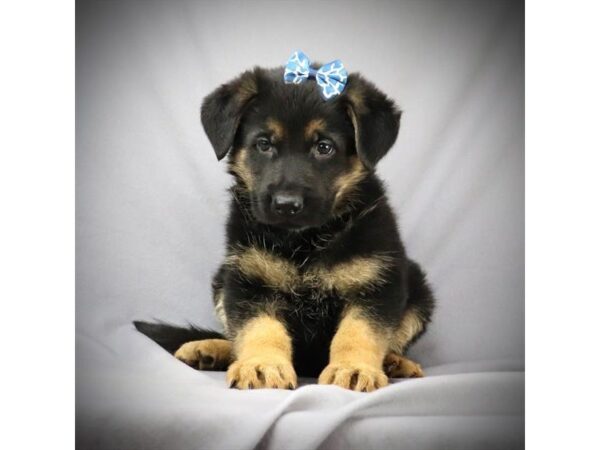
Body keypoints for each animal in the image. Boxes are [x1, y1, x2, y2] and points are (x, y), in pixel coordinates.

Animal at [135, 63, 436, 390]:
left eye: (324, 147)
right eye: (264, 144)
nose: (286, 204)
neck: (303, 241)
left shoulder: (375, 285)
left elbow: (359, 333)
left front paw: (354, 368)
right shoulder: (250, 283)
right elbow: (259, 330)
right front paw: (261, 365)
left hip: (418, 286)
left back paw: (396, 362)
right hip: (221, 279)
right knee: (234, 337)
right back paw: (209, 348)